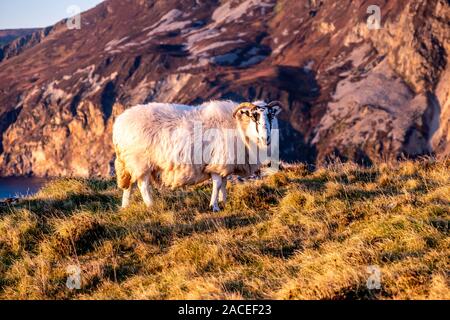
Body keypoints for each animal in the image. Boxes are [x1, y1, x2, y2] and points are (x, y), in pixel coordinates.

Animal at [112, 99, 282, 211]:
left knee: (129, 186)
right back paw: (151, 206)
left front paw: (224, 202)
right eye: (254, 116)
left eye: (271, 116)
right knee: (143, 186)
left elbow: (224, 183)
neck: (238, 126)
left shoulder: (225, 165)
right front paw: (214, 206)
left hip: (129, 163)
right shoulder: (217, 163)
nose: (266, 137)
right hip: (141, 162)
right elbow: (217, 184)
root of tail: (119, 124)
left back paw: (125, 207)